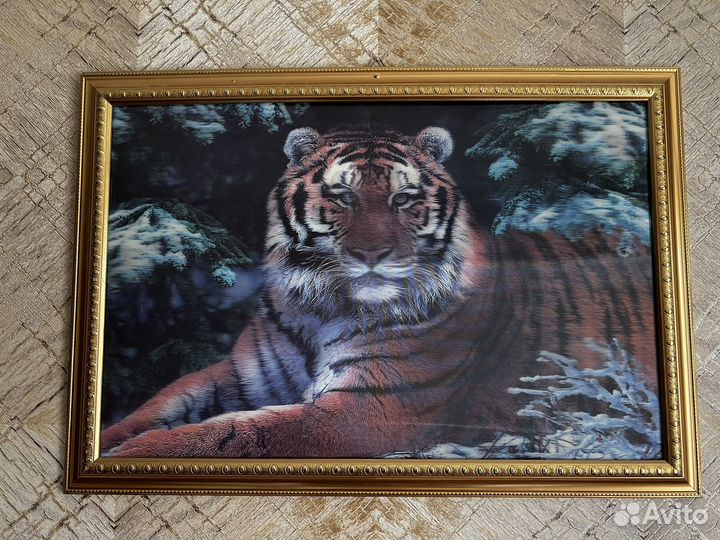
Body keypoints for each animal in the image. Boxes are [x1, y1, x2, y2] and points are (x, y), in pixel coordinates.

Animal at [102, 125, 659, 458]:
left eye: (404, 199)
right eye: (342, 196)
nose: (373, 254)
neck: (320, 308)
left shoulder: (368, 408)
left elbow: (234, 432)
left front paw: (133, 456)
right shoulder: (240, 375)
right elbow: (162, 405)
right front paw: (110, 442)